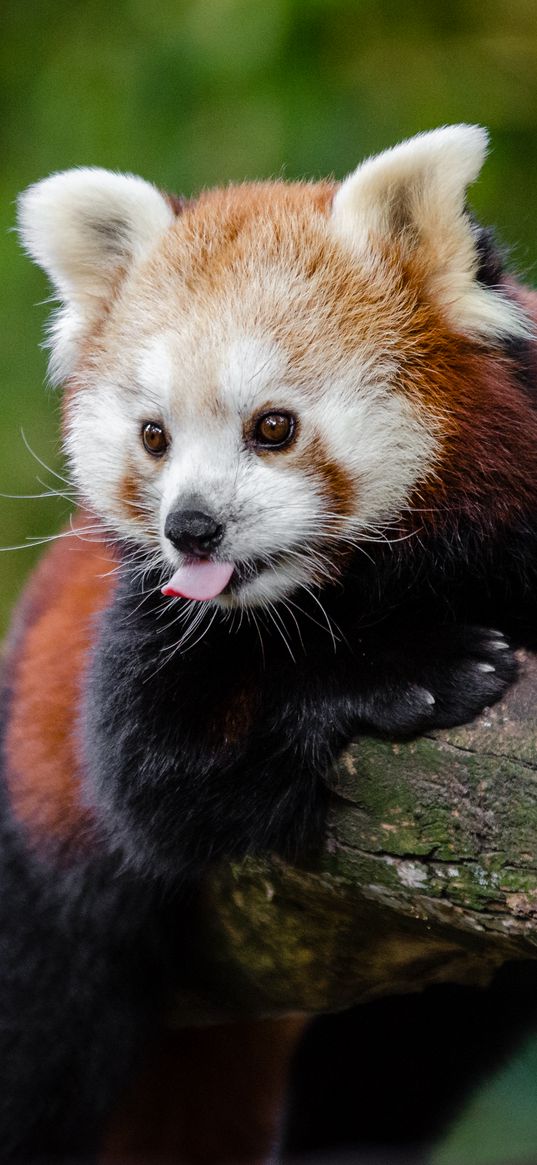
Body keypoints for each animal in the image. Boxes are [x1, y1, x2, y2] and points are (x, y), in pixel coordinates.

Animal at [2, 127, 533, 1155]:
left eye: (273, 426)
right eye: (154, 436)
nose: (191, 528)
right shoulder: (148, 624)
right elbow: (159, 780)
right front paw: (410, 672)